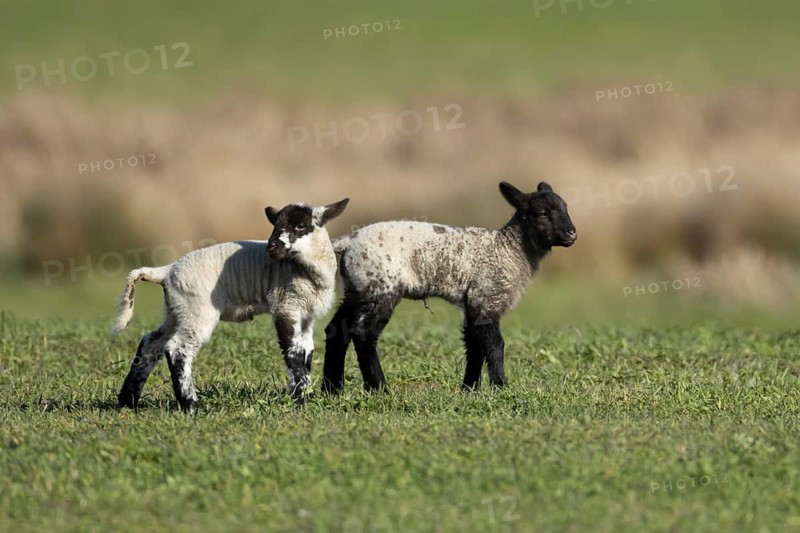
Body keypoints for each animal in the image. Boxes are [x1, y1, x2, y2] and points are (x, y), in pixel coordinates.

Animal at [112, 198, 349, 412]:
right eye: (275, 224)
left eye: (300, 225)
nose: (271, 247)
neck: (308, 272)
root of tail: (166, 271)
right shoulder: (285, 305)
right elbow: (293, 352)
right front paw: (298, 401)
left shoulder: (306, 315)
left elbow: (306, 352)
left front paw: (305, 395)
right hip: (197, 312)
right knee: (177, 349)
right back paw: (191, 406)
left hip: (176, 311)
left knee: (151, 344)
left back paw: (128, 400)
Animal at [322, 181, 575, 393]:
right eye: (541, 213)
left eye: (565, 208)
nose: (572, 233)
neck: (509, 249)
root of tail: (348, 242)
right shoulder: (486, 296)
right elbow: (495, 344)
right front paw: (500, 387)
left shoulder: (472, 301)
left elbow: (474, 344)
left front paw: (470, 389)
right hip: (381, 286)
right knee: (363, 333)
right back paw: (379, 388)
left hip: (356, 289)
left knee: (336, 330)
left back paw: (332, 390)